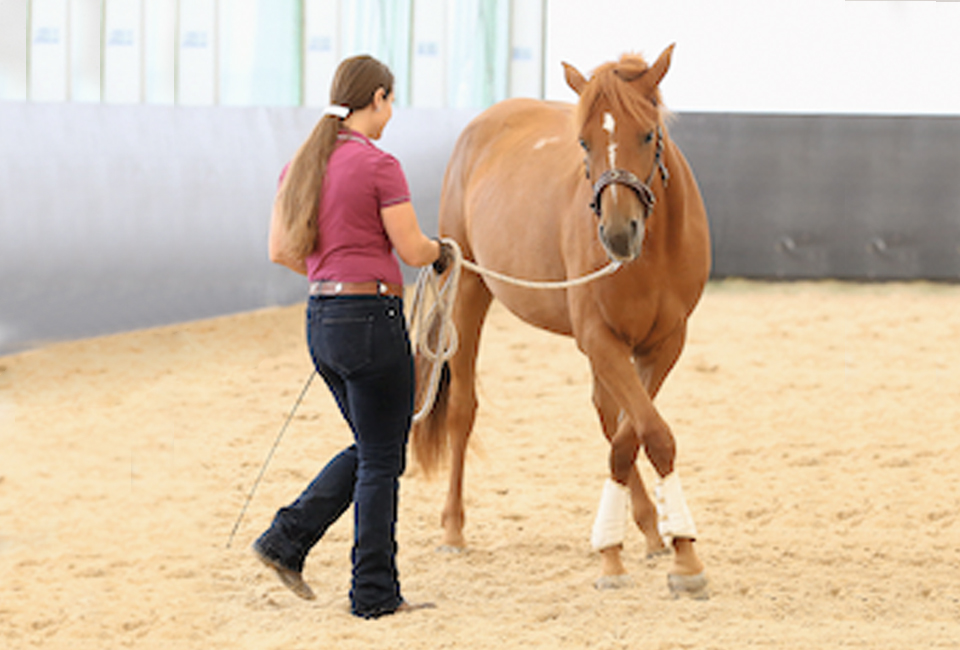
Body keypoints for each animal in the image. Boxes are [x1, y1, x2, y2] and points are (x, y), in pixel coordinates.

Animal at [414, 44, 712, 592]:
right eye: (584, 142)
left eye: (648, 134)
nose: (618, 233)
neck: (651, 253)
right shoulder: (600, 338)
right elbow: (648, 433)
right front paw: (657, 556)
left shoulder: (664, 343)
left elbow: (633, 434)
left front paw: (665, 545)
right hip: (467, 289)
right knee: (464, 409)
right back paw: (453, 529)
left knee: (607, 414)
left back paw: (647, 531)